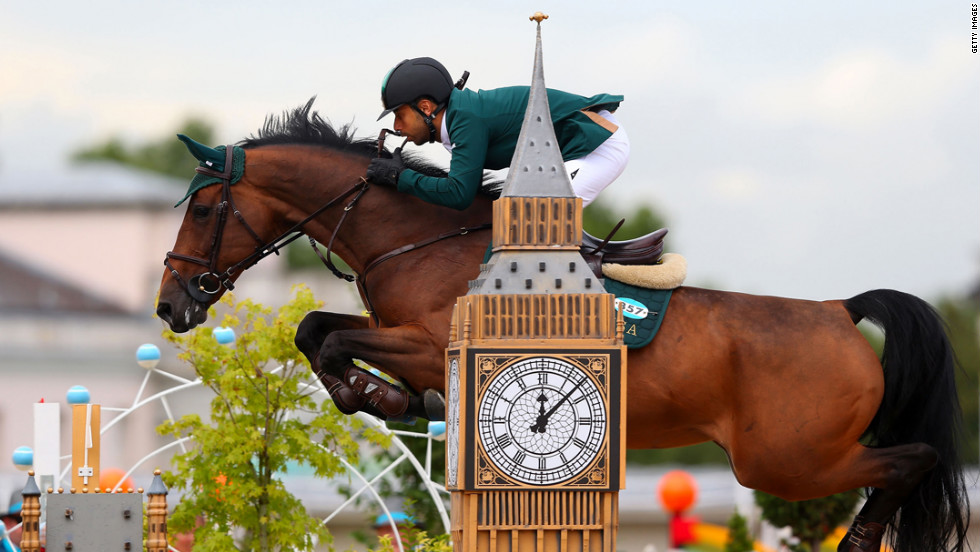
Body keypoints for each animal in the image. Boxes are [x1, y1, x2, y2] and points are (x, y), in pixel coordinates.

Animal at [157, 100, 968, 552]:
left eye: (206, 208)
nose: (171, 305)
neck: (419, 238)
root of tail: (839, 311)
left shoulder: (430, 345)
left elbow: (331, 338)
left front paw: (381, 397)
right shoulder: (402, 336)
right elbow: (316, 330)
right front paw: (387, 399)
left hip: (783, 460)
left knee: (911, 459)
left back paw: (859, 542)